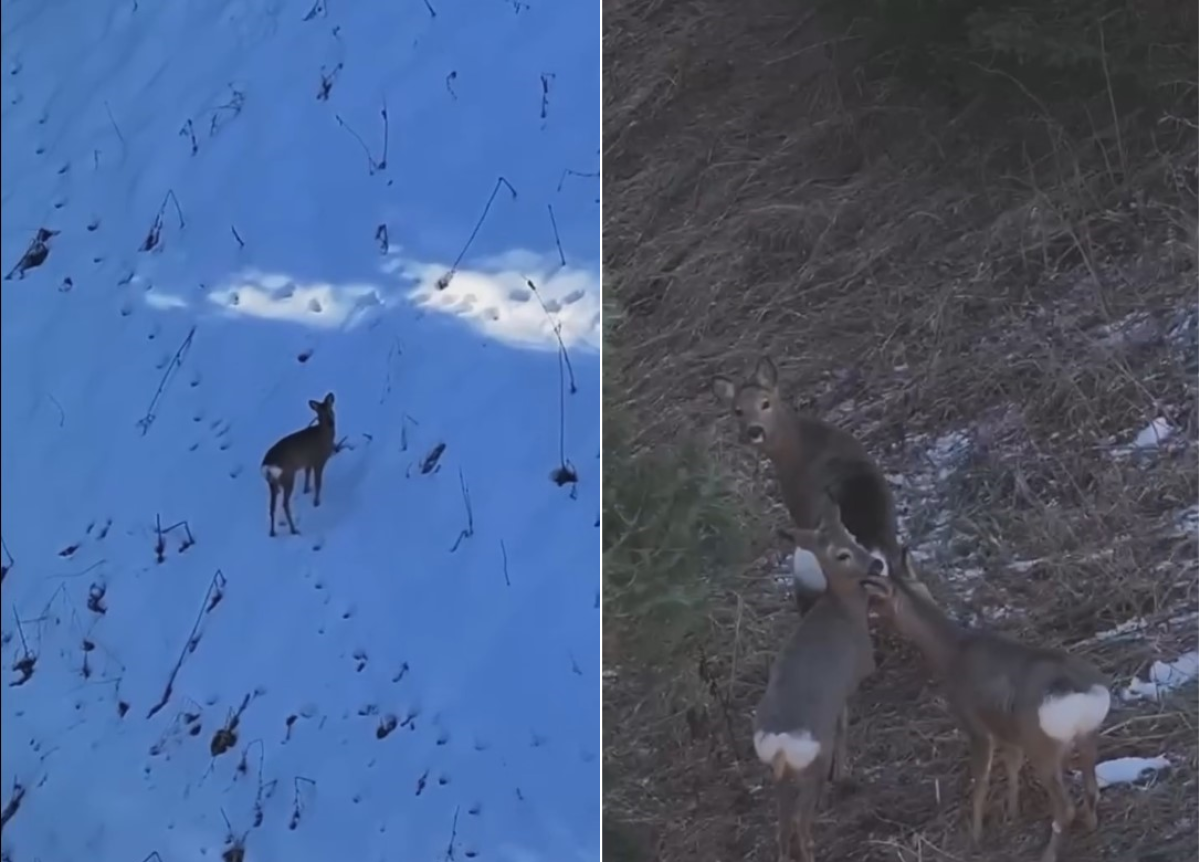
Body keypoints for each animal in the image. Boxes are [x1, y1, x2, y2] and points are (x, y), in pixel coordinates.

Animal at [261, 393, 336, 540]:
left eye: (330, 410)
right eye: (320, 414)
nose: (331, 423)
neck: (322, 436)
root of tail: (267, 466)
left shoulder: (307, 462)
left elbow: (307, 475)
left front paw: (306, 490)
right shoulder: (318, 461)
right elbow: (318, 483)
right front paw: (316, 503)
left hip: (272, 483)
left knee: (272, 507)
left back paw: (272, 532)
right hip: (288, 477)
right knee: (285, 504)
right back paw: (294, 530)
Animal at [758, 499, 883, 862]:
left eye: (853, 535)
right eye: (841, 555)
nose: (875, 563)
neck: (843, 610)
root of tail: (782, 744)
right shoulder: (851, 680)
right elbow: (843, 726)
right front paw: (843, 775)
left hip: (778, 775)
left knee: (782, 826)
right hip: (811, 763)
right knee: (800, 822)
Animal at [859, 554, 1108, 862]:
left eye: (877, 601)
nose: (870, 617)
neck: (951, 653)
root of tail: (1081, 692)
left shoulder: (975, 725)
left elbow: (981, 781)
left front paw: (975, 836)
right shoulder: (1008, 731)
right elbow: (1012, 767)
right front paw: (1012, 814)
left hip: (1042, 742)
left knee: (1065, 808)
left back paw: (1048, 853)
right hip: (1087, 734)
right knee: (1092, 789)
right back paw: (1091, 826)